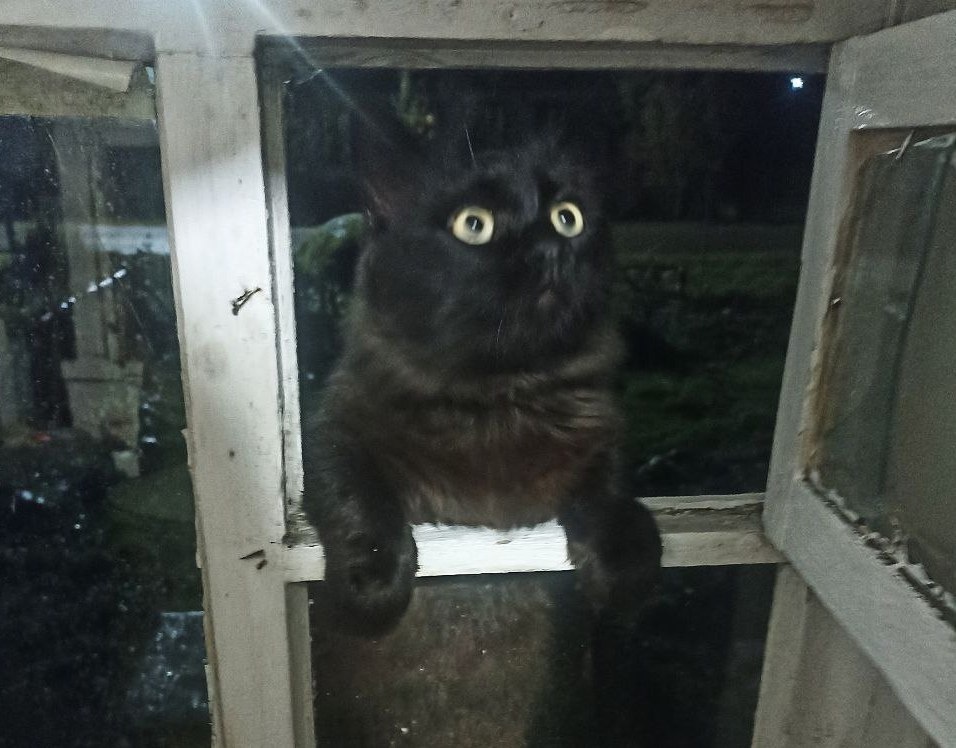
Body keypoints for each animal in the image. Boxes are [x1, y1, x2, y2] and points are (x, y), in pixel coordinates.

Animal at [301, 125, 662, 636]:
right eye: (474, 225)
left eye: (567, 218)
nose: (551, 249)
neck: (499, 394)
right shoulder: (330, 430)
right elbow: (358, 499)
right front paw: (372, 585)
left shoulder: (602, 439)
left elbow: (613, 496)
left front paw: (625, 567)